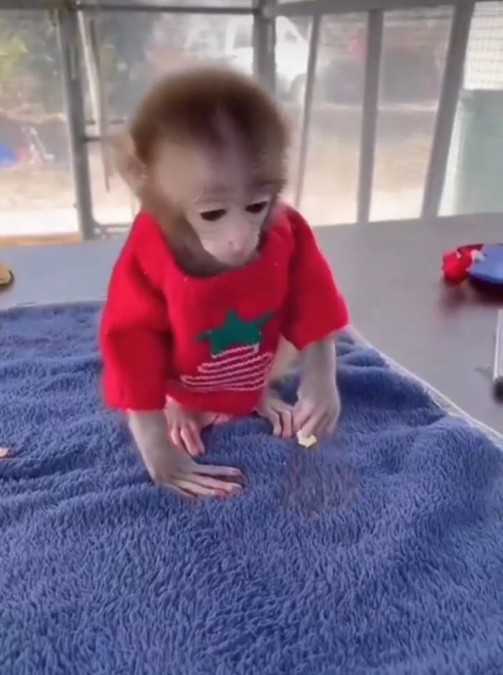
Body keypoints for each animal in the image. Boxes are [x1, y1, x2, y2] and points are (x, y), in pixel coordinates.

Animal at [100, 66, 350, 499]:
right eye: (213, 214)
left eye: (256, 207)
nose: (239, 240)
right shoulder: (138, 261)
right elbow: (134, 341)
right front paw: (162, 457)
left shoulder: (291, 227)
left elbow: (310, 294)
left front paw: (320, 391)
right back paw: (182, 413)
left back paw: (262, 399)